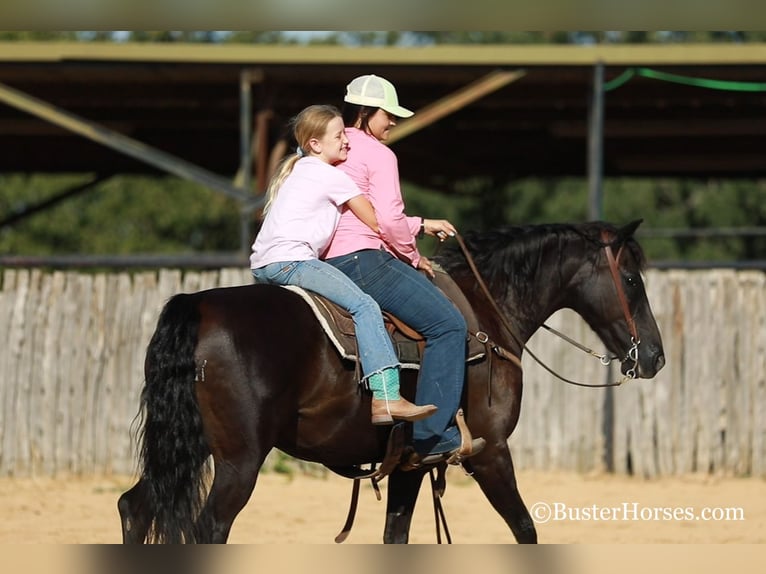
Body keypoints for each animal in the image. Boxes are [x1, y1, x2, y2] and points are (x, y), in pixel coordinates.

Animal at [118, 219, 664, 544]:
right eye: (631, 279)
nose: (655, 356)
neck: (486, 313)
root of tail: (197, 305)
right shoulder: (489, 451)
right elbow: (525, 528)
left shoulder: (410, 463)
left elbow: (395, 536)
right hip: (238, 461)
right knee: (209, 527)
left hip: (185, 448)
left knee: (135, 507)